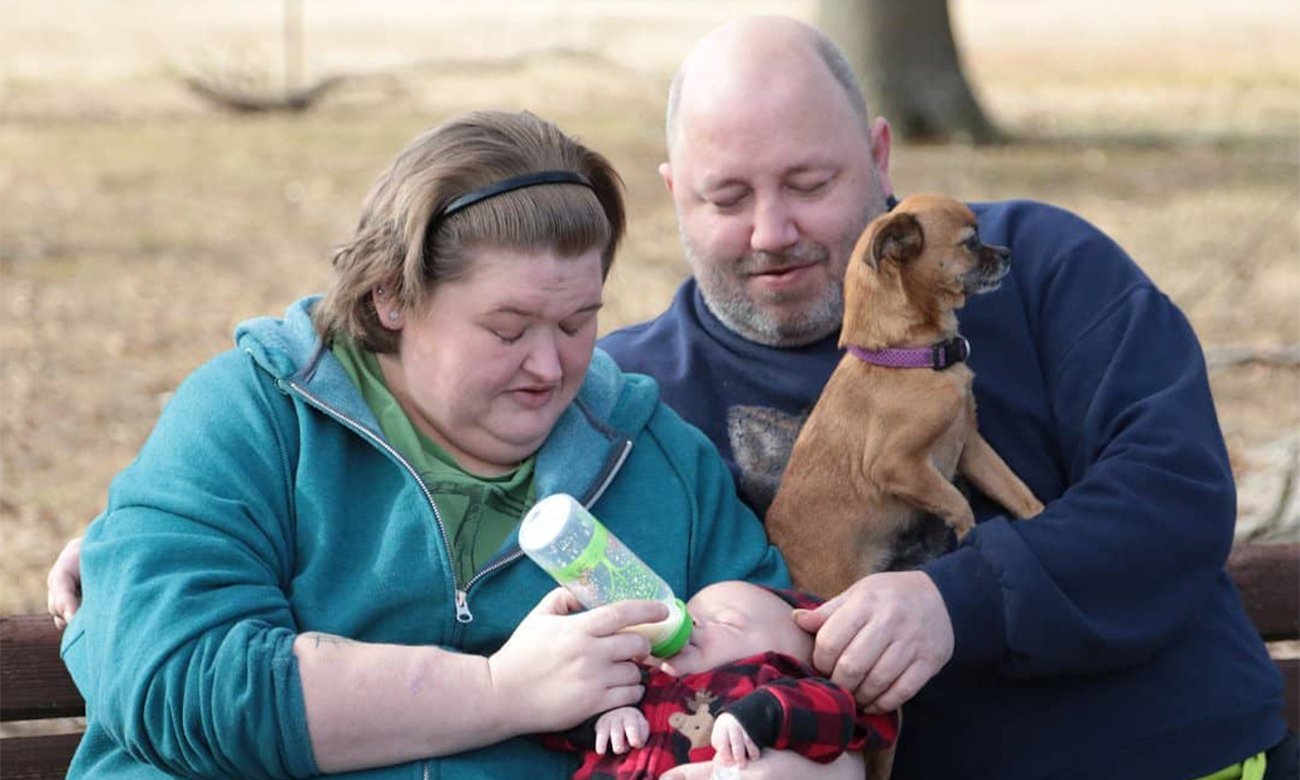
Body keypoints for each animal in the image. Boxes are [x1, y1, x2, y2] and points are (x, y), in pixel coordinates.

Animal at [764, 193, 1040, 598]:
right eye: (971, 241)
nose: (1007, 253)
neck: (909, 358)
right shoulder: (897, 465)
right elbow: (957, 502)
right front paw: (968, 533)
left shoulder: (971, 446)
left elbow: (1015, 489)